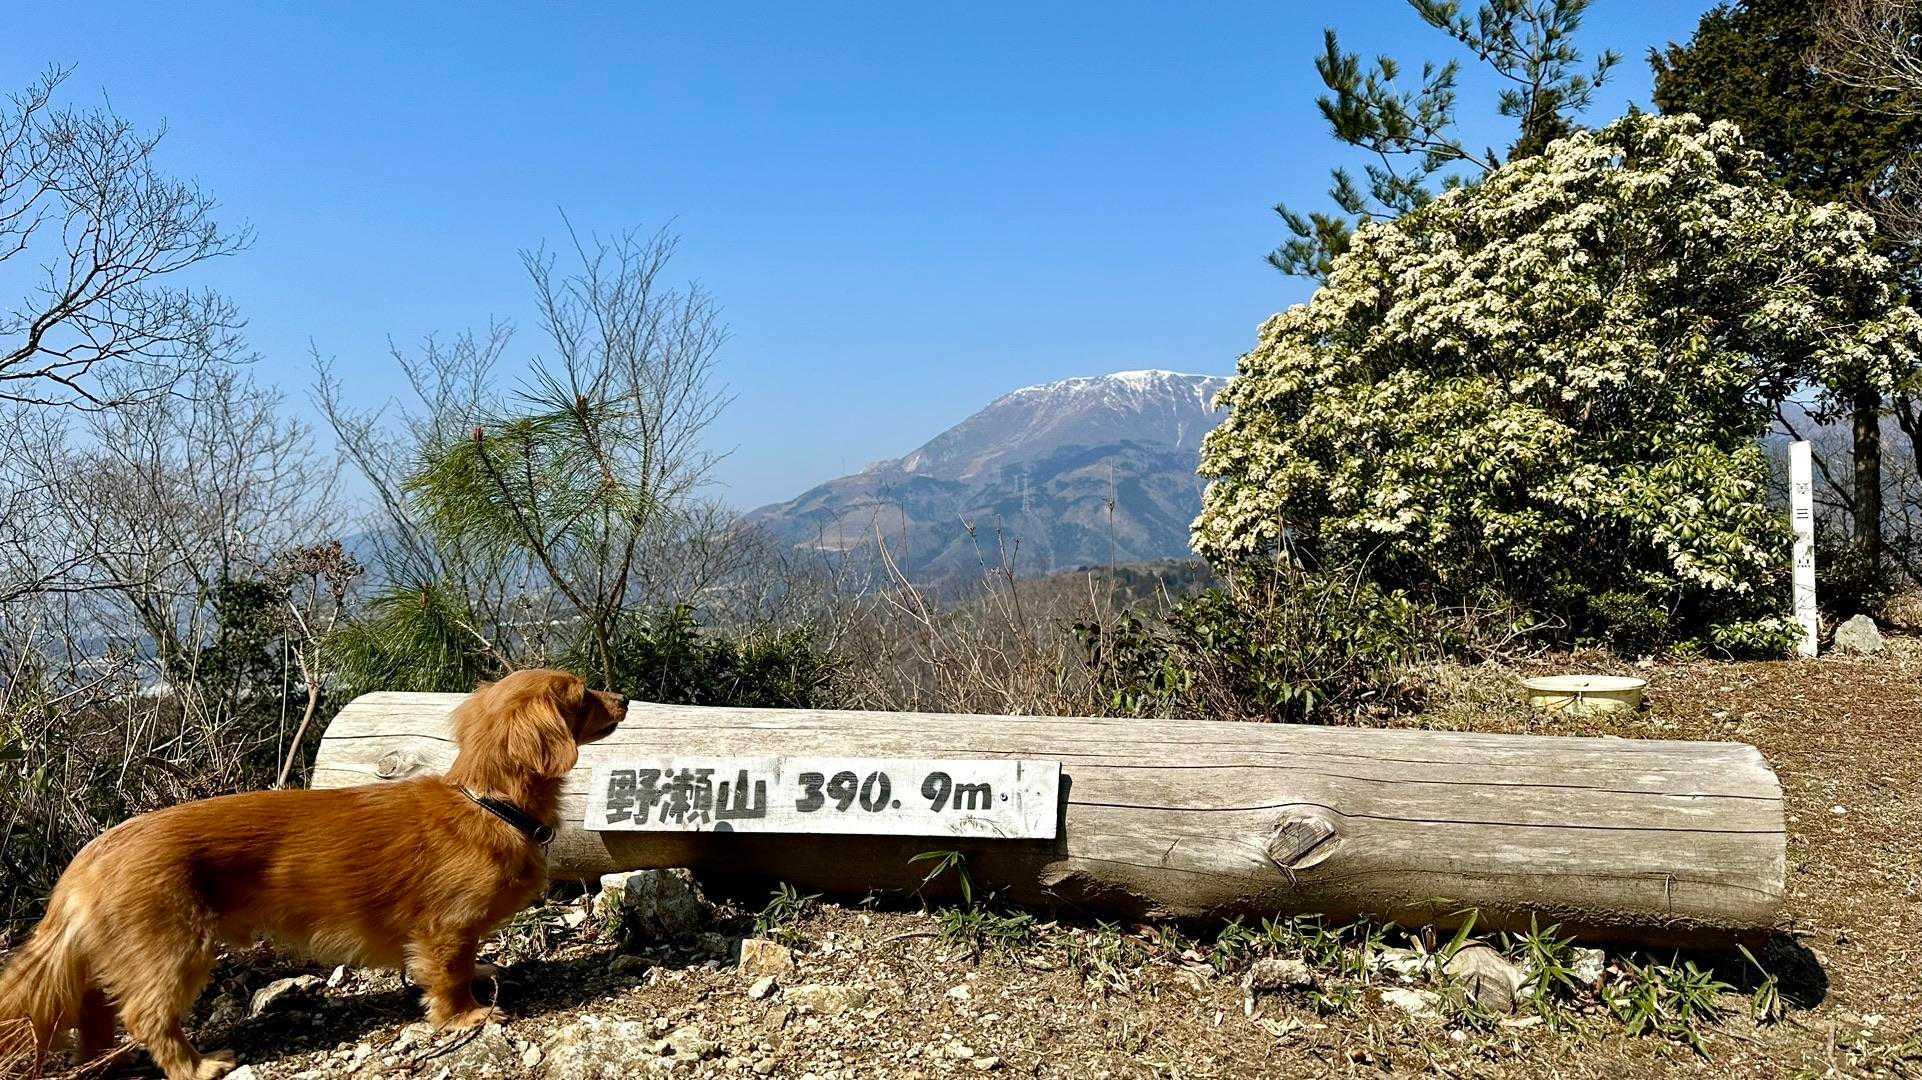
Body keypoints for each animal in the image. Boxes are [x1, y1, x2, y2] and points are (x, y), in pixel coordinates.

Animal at [0, 668, 625, 1080]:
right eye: (582, 696)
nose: (622, 698)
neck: (491, 802)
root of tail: (88, 858)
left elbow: (467, 963)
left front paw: (481, 977)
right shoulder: (445, 930)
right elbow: (447, 976)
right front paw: (464, 1015)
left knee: (96, 1012)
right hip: (175, 948)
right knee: (145, 1015)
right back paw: (197, 1066)